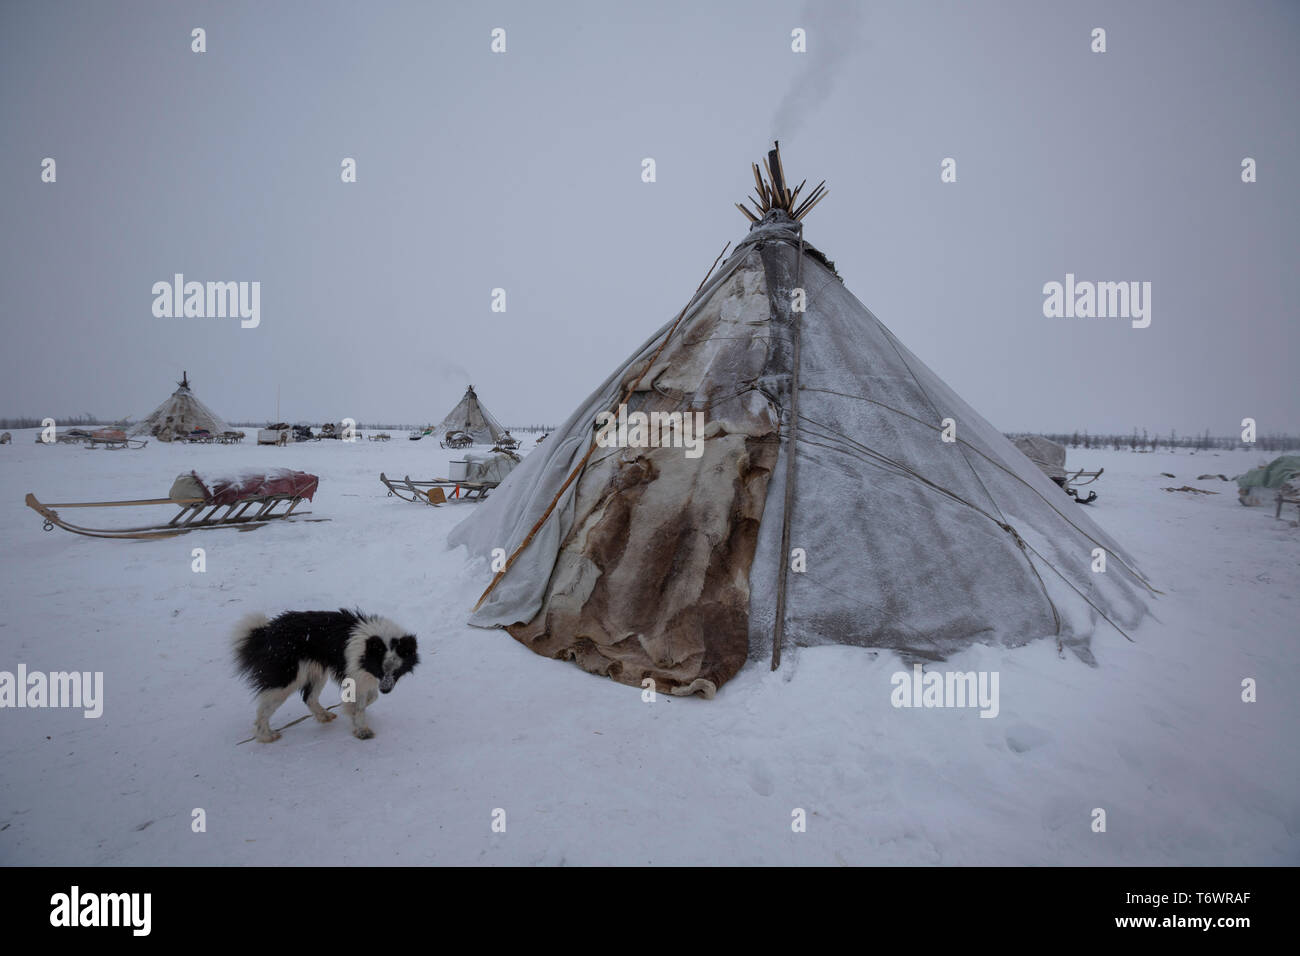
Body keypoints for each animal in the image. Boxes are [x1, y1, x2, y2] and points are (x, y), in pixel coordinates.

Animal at [231, 608, 418, 743]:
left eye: (396, 671)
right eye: (380, 670)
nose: (386, 690)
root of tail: (266, 633)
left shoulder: (365, 677)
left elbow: (370, 697)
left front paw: (351, 710)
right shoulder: (357, 675)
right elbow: (361, 705)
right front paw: (361, 729)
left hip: (316, 671)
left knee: (309, 697)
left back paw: (323, 716)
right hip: (288, 678)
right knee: (264, 709)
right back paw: (266, 736)